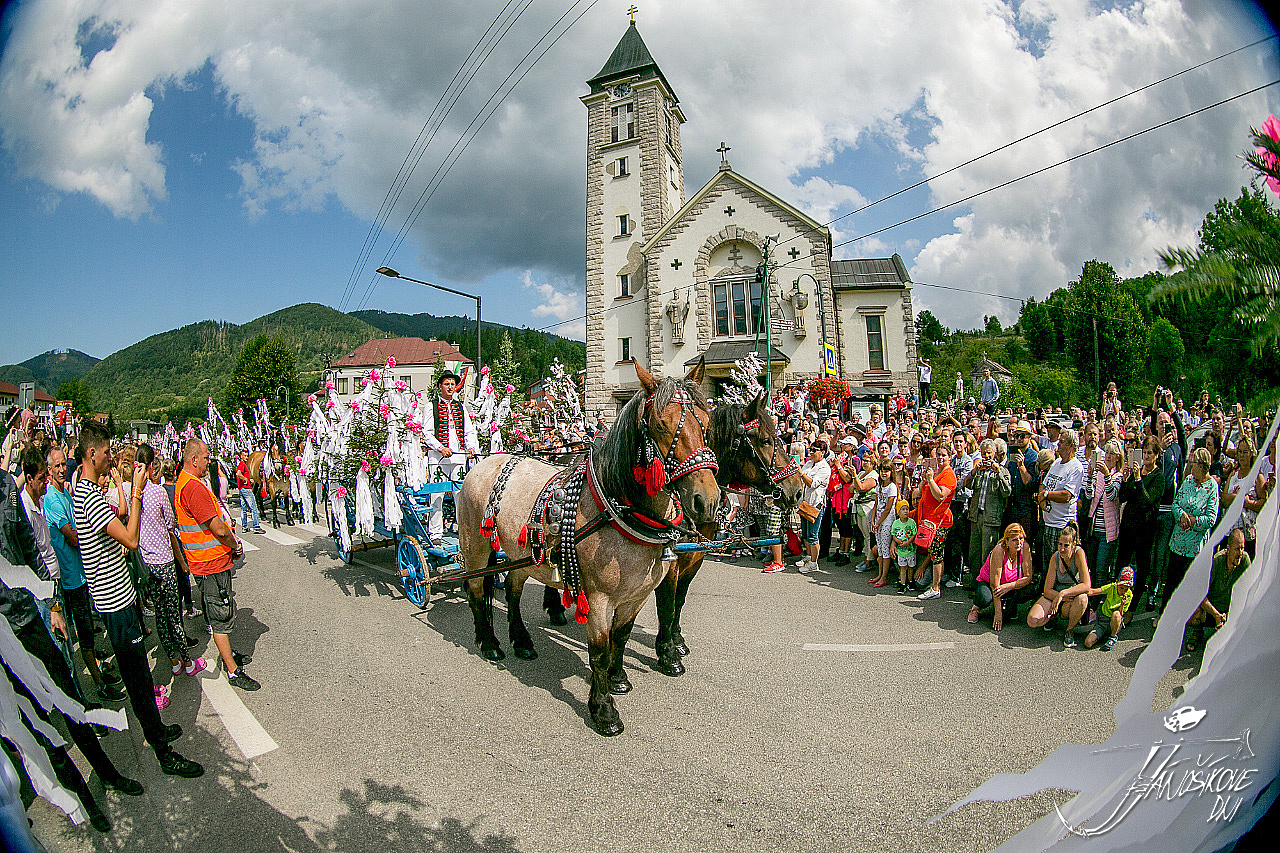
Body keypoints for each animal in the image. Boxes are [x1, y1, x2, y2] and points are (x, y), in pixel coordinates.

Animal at [454, 362, 720, 736]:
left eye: (707, 424)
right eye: (660, 426)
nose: (706, 501)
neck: (617, 506)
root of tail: (482, 463)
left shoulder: (636, 595)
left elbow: (621, 638)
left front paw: (618, 679)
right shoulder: (598, 600)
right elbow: (598, 649)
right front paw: (604, 710)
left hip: (522, 555)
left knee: (513, 592)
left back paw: (521, 641)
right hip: (475, 545)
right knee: (477, 589)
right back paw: (490, 643)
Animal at [651, 393, 805, 677]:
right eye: (765, 440)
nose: (797, 490)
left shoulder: (694, 559)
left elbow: (679, 601)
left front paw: (677, 641)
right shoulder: (670, 562)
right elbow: (666, 604)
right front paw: (667, 654)